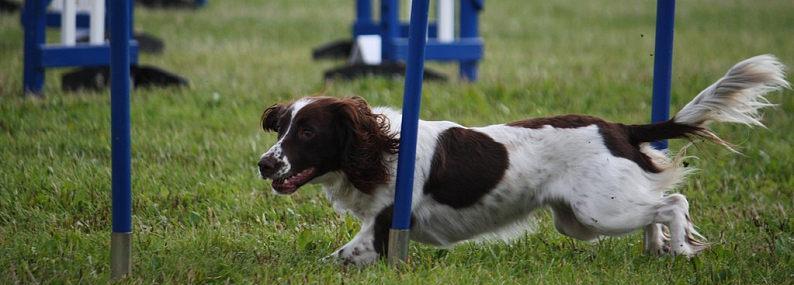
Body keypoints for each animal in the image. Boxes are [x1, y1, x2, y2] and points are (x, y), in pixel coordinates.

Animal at [255, 55, 784, 264]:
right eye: (282, 128)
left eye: (308, 132)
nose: (263, 164)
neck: (382, 147)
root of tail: (619, 128)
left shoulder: (384, 225)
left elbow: (339, 258)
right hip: (581, 219)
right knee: (655, 208)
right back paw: (658, 249)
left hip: (599, 209)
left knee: (673, 203)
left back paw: (679, 251)